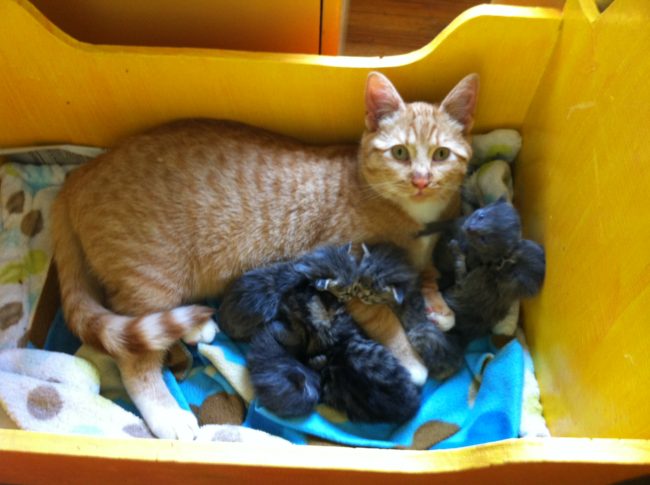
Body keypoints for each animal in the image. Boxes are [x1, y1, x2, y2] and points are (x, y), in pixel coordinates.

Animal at [52, 72, 476, 438]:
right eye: (400, 152)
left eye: (441, 154)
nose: (421, 180)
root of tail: (80, 174)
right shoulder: (348, 277)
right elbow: (385, 320)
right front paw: (411, 360)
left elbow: (423, 273)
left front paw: (437, 304)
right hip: (150, 276)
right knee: (133, 358)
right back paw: (166, 413)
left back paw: (195, 326)